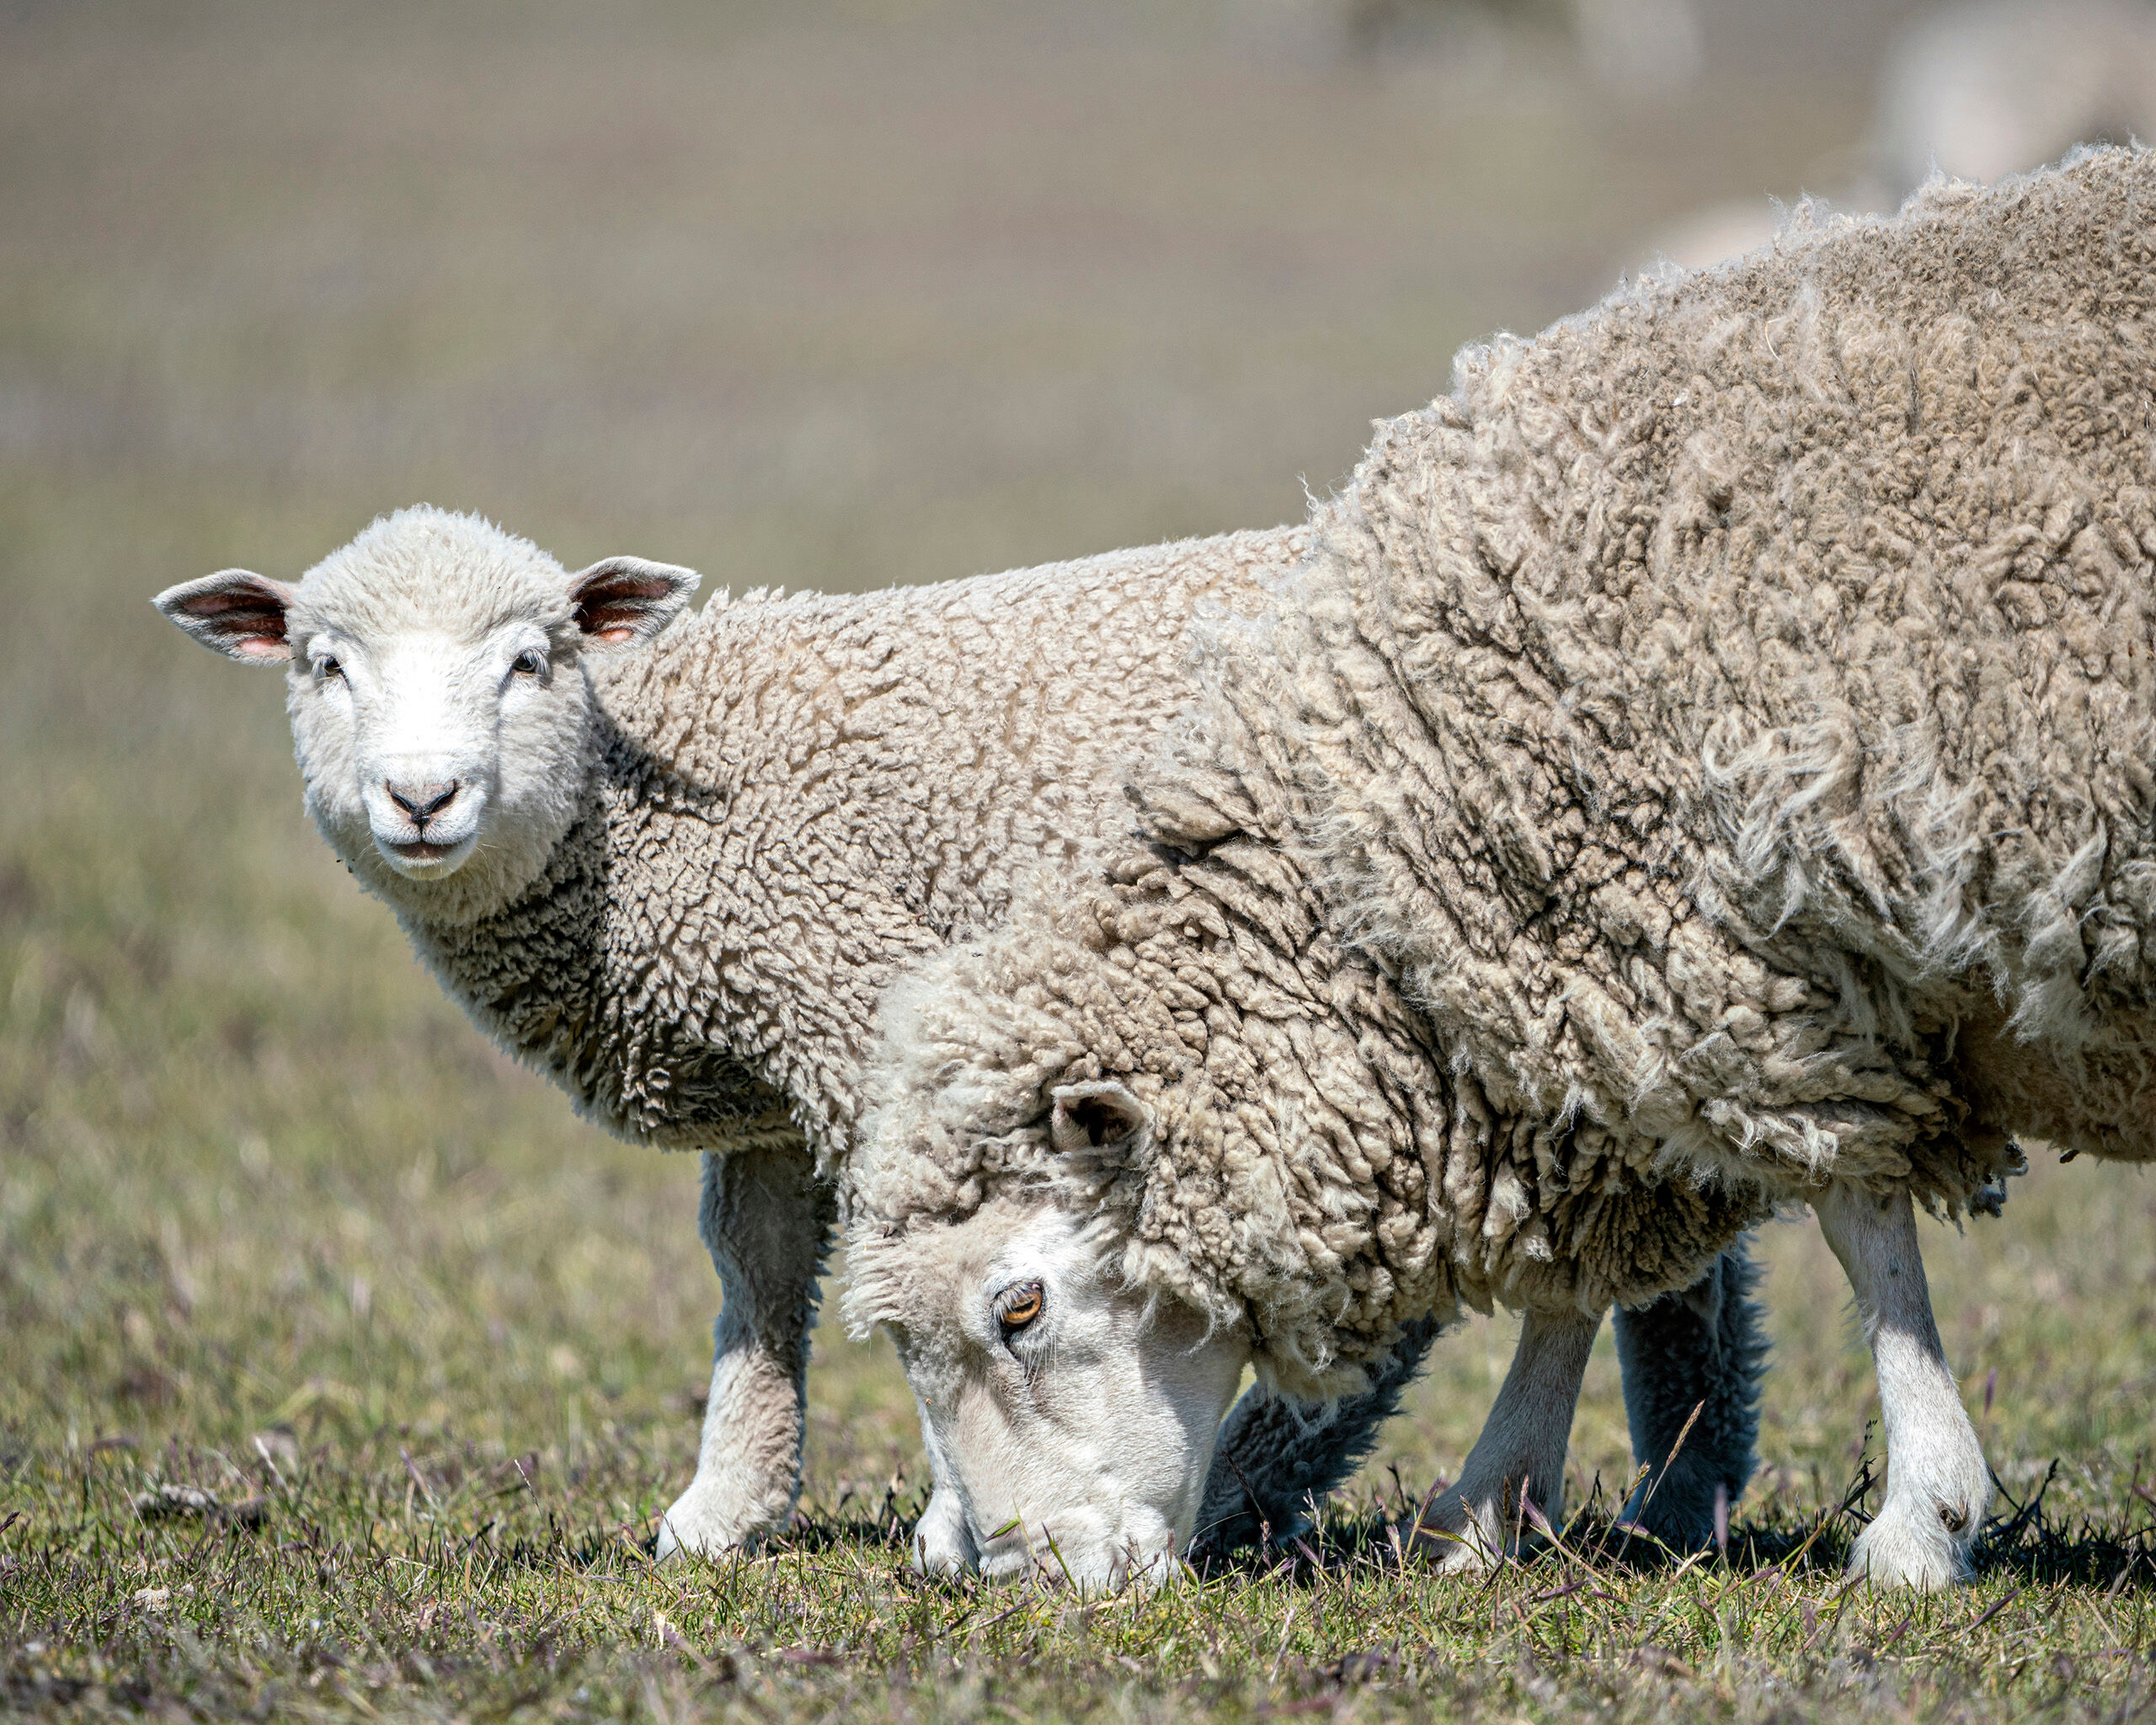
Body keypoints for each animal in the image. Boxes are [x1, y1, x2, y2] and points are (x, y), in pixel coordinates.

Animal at [843, 146, 2156, 1591]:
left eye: (1019, 1308)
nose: (1027, 1581)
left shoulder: (1781, 955)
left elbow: (1860, 1224)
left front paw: (1924, 1519)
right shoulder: (1604, 993)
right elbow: (1579, 1261)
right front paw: (1489, 1503)